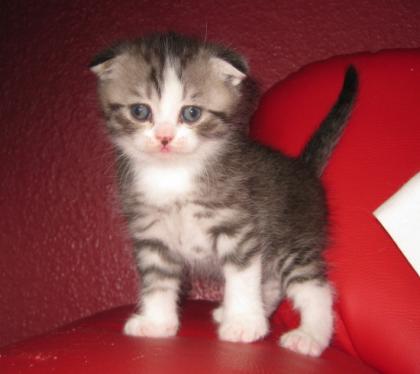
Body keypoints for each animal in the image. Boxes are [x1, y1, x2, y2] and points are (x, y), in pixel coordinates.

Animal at [89, 33, 358, 358]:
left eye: (191, 113)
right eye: (140, 111)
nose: (165, 137)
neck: (174, 175)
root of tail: (303, 168)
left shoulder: (237, 226)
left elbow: (242, 276)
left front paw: (243, 324)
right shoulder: (151, 234)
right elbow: (158, 280)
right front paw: (157, 323)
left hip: (293, 242)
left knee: (315, 288)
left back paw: (311, 336)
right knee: (271, 283)